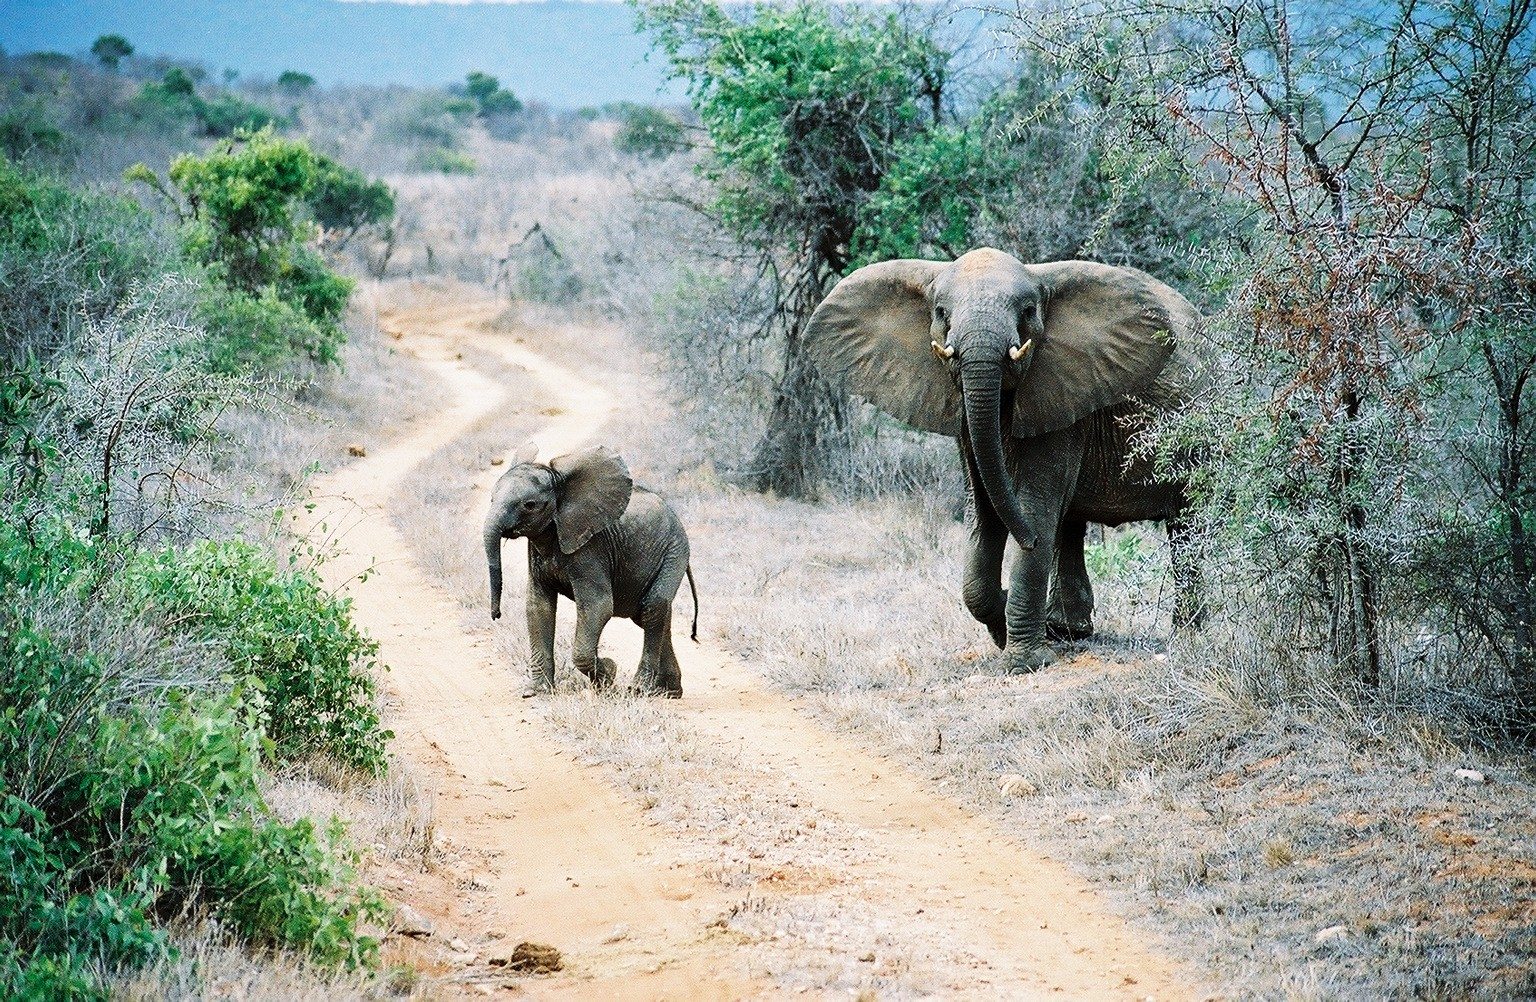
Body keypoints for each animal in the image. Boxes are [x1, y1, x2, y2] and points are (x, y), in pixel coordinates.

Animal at [485, 445, 697, 697]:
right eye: (491, 498)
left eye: (529, 505)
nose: (496, 615)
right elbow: (538, 606)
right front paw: (536, 691)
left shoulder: (590, 550)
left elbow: (598, 606)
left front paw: (609, 675)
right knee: (650, 614)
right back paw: (667, 692)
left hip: (675, 551)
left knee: (653, 606)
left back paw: (640, 689)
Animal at [811, 248, 1204, 673]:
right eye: (941, 313)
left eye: (1028, 311)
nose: (1026, 541)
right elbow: (983, 513)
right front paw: (1008, 618)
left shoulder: (1061, 394)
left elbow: (1032, 508)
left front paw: (1024, 661)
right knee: (1070, 526)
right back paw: (1069, 630)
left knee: (1186, 525)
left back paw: (1186, 640)